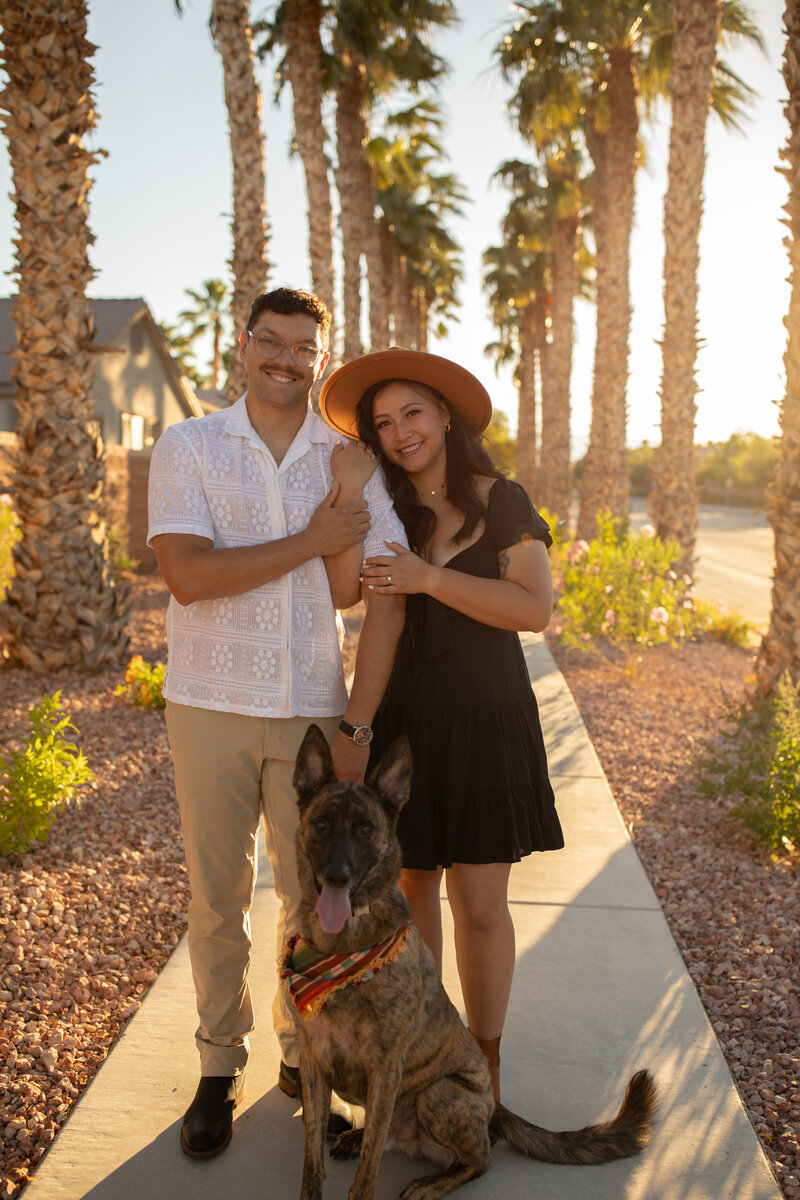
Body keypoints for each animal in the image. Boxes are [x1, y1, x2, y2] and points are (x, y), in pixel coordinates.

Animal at [284, 720, 662, 1200]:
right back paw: (359, 1137)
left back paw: (430, 1183)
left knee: (478, 1160)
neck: (343, 950)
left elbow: (366, 1176)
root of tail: (495, 1109)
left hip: (439, 1093)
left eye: (367, 829)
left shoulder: (385, 1069)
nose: (337, 876)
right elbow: (311, 1163)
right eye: (322, 824)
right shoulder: (315, 1064)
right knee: (383, 1137)